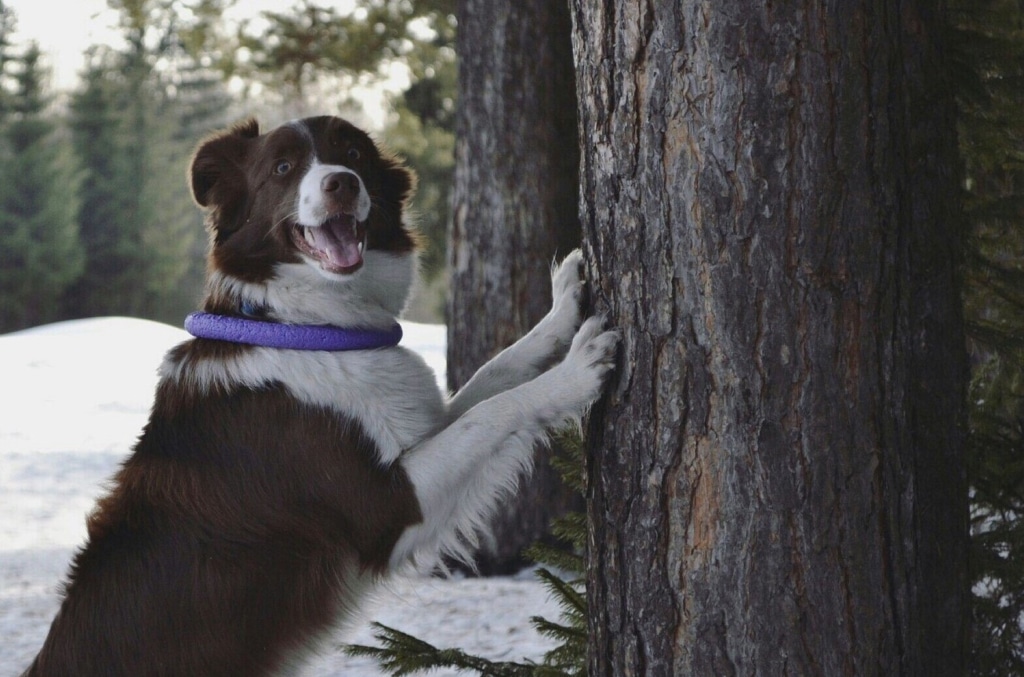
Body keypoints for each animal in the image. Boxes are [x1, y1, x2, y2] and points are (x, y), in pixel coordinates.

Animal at [22, 116, 614, 675]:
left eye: (353, 152)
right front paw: (575, 372)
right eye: (283, 168)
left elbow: (496, 374)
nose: (342, 183)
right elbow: (494, 410)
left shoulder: (417, 424)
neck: (303, 325)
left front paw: (561, 310)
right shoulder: (386, 508)